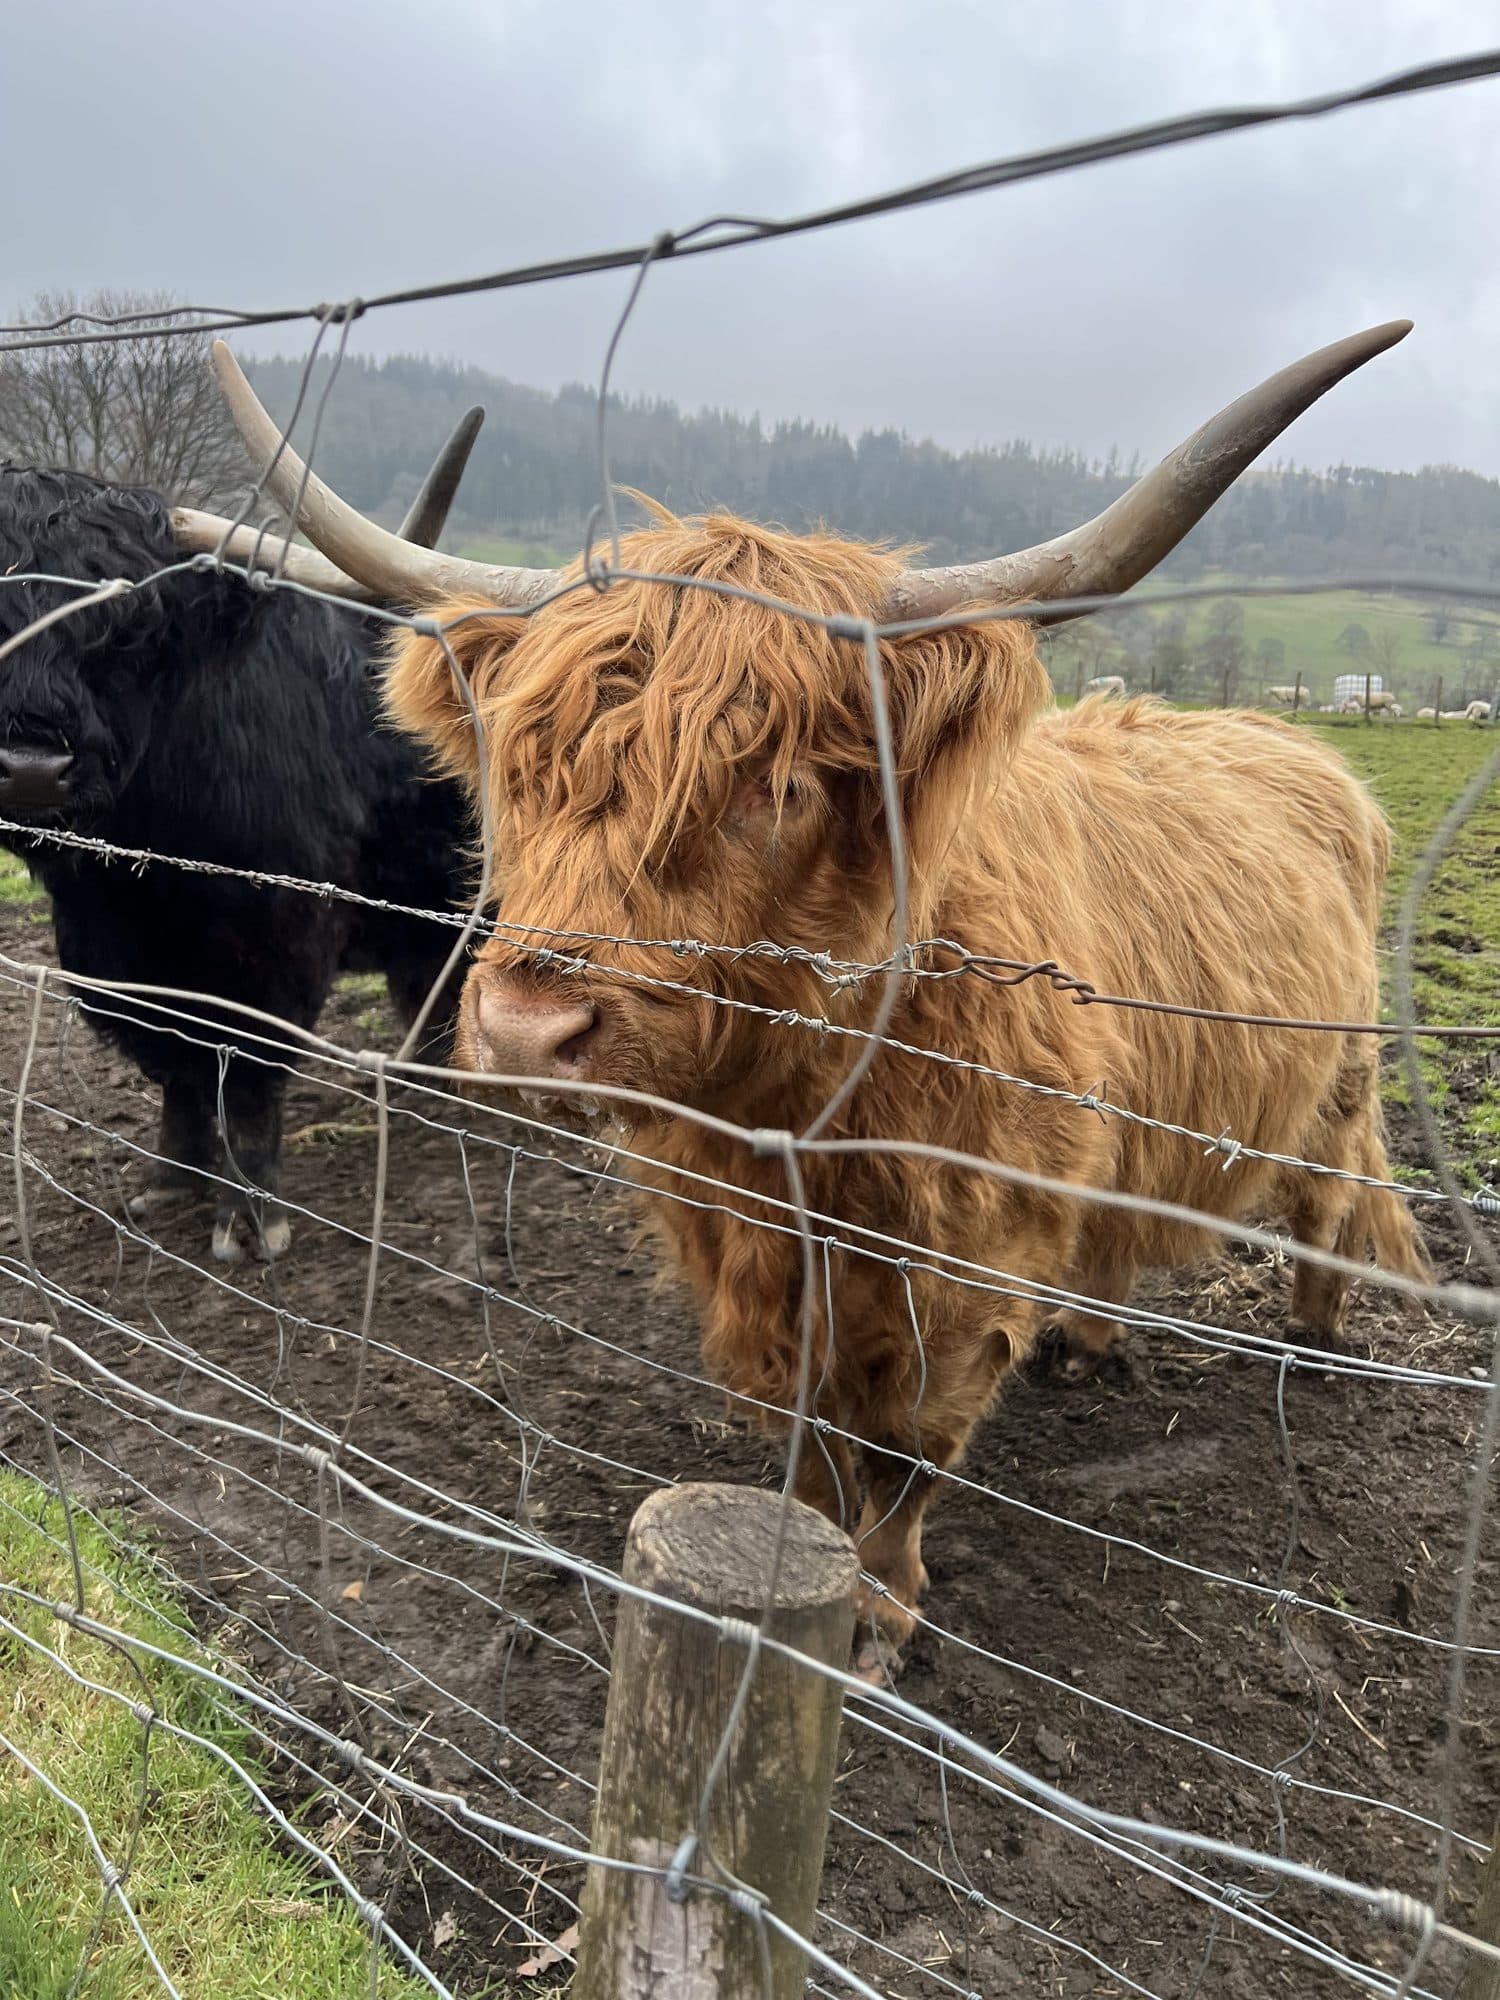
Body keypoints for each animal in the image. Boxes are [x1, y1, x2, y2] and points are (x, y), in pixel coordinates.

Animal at [0, 422, 483, 1263]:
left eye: (133, 625)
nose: (32, 769)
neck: (136, 881)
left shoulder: (276, 941)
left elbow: (248, 1071)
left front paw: (251, 1216)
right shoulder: (105, 953)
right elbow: (177, 1069)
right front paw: (170, 1181)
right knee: (430, 977)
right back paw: (423, 1083)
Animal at [189, 322, 1430, 1674]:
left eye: (776, 785)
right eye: (520, 766)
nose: (525, 1029)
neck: (806, 1118)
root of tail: (1302, 747)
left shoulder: (967, 1261)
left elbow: (907, 1443)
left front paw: (877, 1610)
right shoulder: (743, 1242)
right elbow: (816, 1426)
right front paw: (810, 1558)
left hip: (1339, 1078)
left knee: (1332, 1196)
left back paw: (1312, 1341)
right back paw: (1096, 1344)